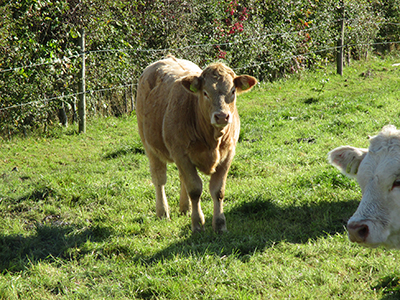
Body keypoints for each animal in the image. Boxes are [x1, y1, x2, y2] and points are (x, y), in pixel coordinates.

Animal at [137, 56, 256, 234]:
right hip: (150, 146)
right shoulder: (181, 154)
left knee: (181, 178)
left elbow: (218, 190)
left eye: (233, 91)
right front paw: (198, 224)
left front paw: (220, 224)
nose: (222, 116)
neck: (212, 139)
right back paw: (163, 212)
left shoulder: (228, 154)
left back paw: (184, 208)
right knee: (159, 179)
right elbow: (194, 189)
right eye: (205, 93)